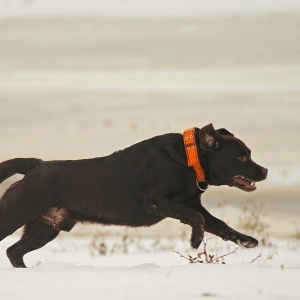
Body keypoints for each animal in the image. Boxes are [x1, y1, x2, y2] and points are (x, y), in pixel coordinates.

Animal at [0, 123, 268, 268]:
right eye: (241, 156)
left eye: (249, 153)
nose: (264, 170)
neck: (187, 161)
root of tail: (35, 165)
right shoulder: (158, 201)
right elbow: (198, 220)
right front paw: (195, 241)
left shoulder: (192, 205)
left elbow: (218, 224)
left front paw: (246, 240)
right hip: (14, 215)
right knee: (12, 248)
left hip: (45, 228)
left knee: (14, 251)